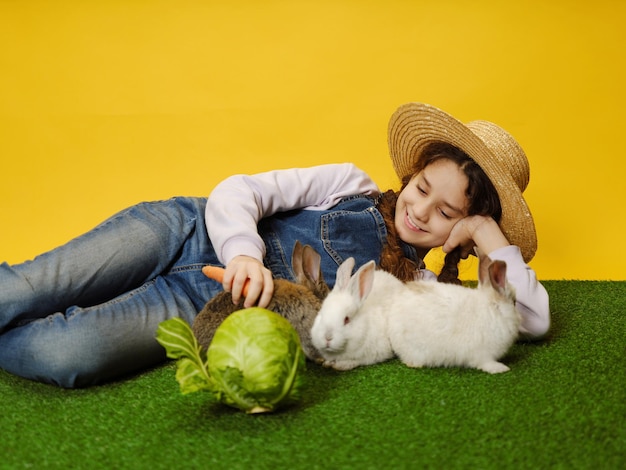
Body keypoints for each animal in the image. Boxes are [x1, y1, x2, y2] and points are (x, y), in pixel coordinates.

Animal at [310, 250, 520, 374]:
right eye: (320, 314)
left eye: (347, 319)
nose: (327, 337)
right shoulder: (483, 355)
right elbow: (487, 364)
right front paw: (502, 369)